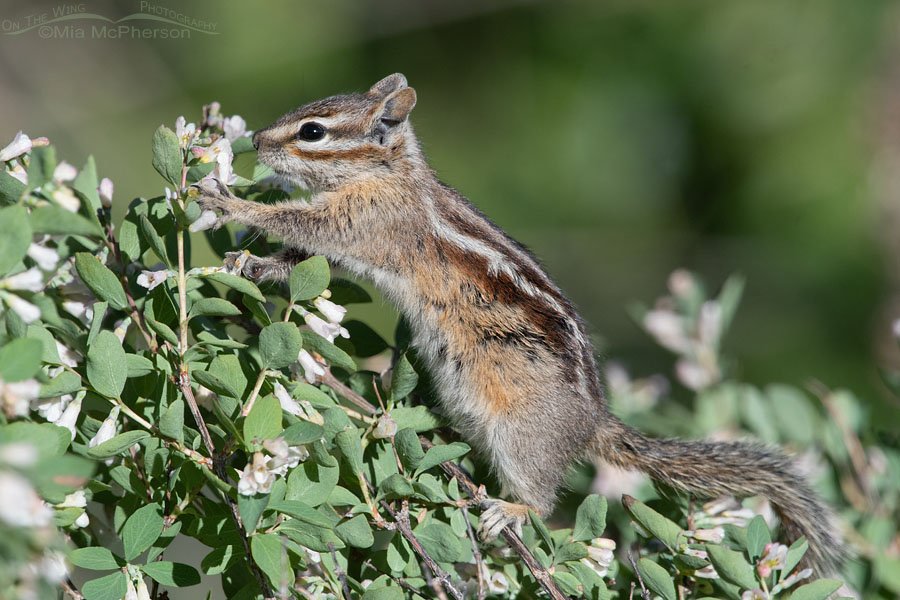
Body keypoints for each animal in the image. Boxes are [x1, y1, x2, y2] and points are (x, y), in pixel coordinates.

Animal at [195, 73, 843, 575]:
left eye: (313, 131)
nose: (255, 140)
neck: (389, 173)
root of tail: (593, 422)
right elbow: (298, 259)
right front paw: (252, 263)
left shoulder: (365, 222)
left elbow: (302, 226)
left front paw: (230, 202)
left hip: (521, 436)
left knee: (541, 496)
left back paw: (513, 510)